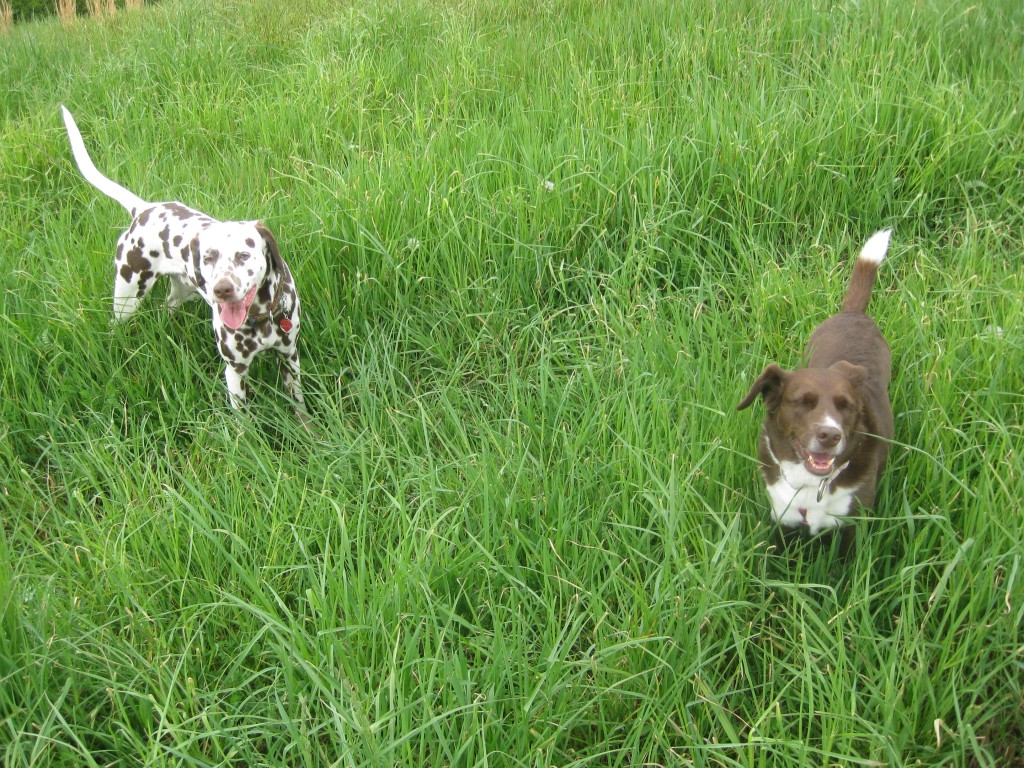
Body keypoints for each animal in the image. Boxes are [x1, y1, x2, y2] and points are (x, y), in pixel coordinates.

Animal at [60, 105, 305, 417]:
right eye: (210, 256)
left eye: (243, 254)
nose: (221, 289)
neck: (259, 316)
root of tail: (143, 209)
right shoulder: (235, 373)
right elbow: (244, 421)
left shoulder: (289, 358)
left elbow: (300, 408)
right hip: (128, 296)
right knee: (117, 324)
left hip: (181, 292)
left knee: (168, 307)